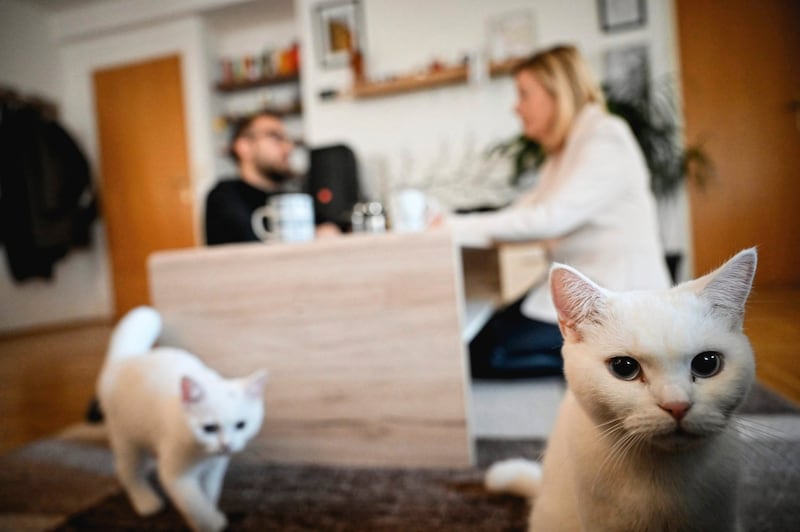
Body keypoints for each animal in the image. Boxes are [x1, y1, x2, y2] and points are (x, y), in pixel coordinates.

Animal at [98, 308, 268, 532]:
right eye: (209, 428)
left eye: (241, 425)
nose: (226, 445)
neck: (203, 455)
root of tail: (124, 361)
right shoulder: (177, 475)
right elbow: (195, 503)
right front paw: (210, 523)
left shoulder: (214, 469)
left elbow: (209, 494)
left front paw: (209, 513)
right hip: (127, 440)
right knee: (126, 470)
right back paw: (145, 501)